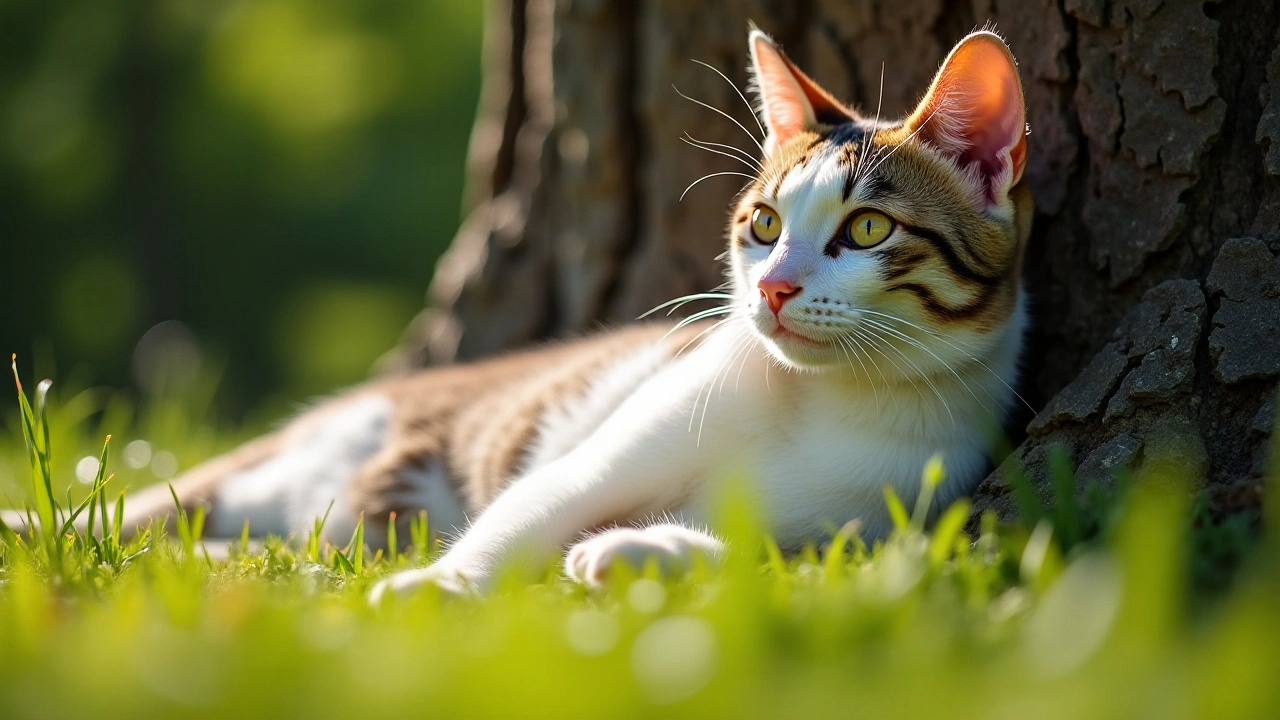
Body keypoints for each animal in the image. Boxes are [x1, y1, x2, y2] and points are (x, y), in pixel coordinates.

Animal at [5, 28, 1034, 597]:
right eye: (765, 223)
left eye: (866, 228)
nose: (772, 289)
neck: (827, 397)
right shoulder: (617, 442)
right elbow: (535, 505)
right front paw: (439, 589)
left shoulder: (886, 515)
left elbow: (781, 561)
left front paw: (635, 552)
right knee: (146, 516)